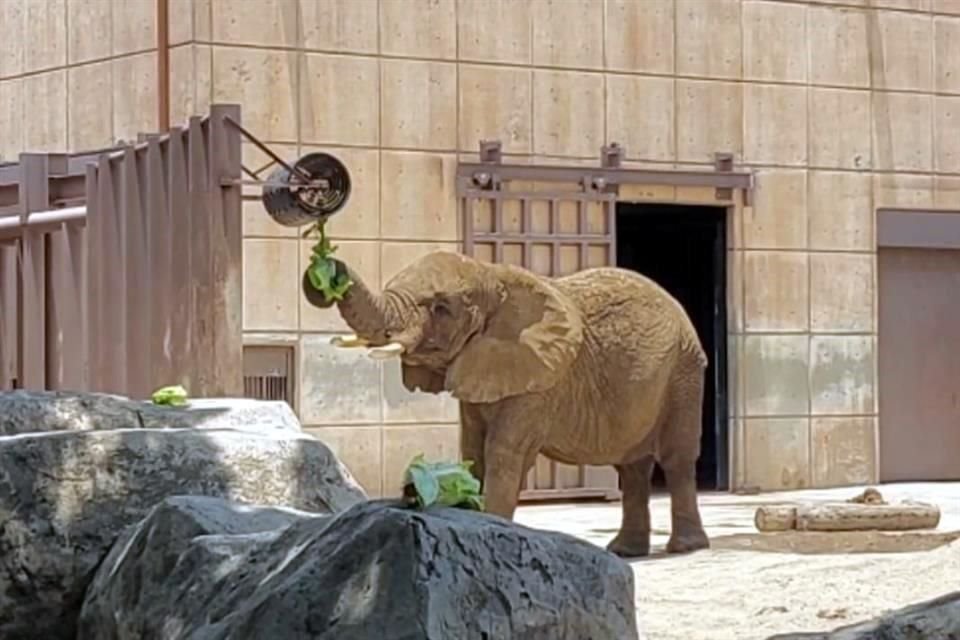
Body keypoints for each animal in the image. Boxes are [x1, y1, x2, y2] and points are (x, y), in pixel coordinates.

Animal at [308, 248, 712, 556]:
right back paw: (625, 552)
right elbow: (474, 450)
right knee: (632, 467)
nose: (330, 265)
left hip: (684, 372)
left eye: (441, 307)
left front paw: (490, 528)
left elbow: (505, 451)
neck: (490, 275)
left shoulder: (540, 376)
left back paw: (685, 548)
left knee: (675, 459)